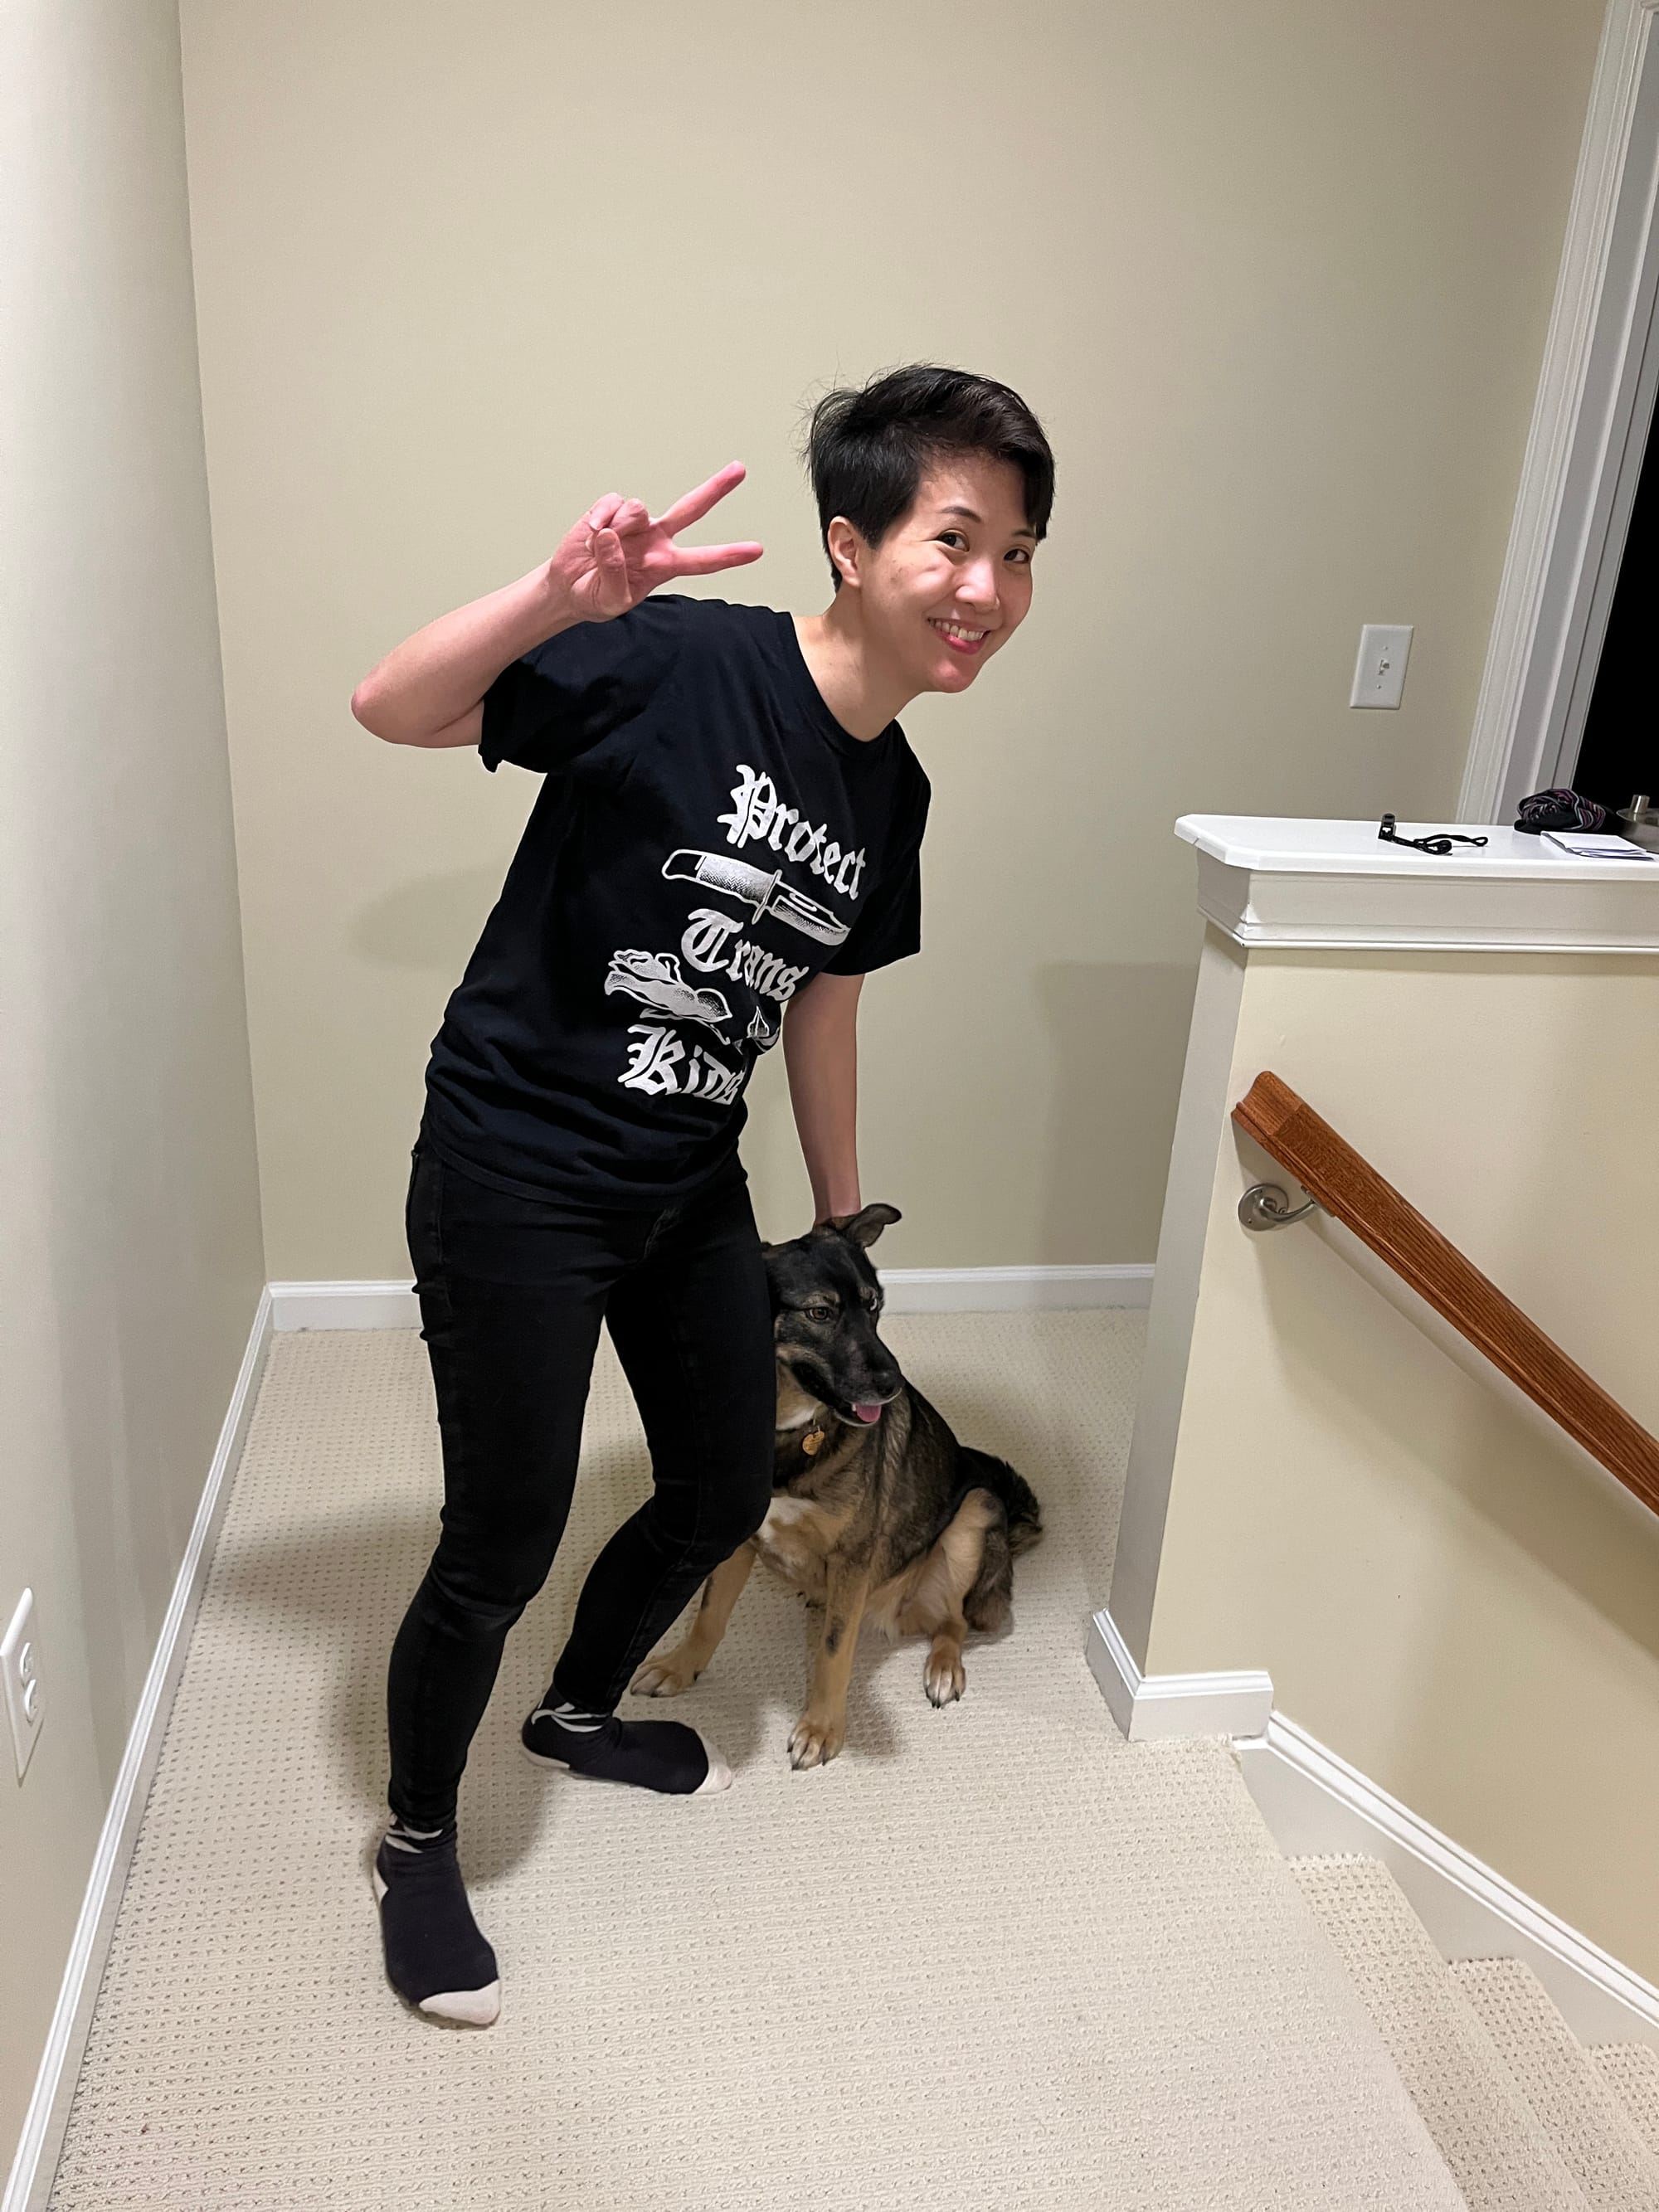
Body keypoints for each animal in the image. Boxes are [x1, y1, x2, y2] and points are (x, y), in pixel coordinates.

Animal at [628, 1203, 1044, 1769]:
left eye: (874, 1306)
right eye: (820, 1314)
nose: (893, 1385)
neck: (788, 1432)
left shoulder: (854, 1557)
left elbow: (832, 1651)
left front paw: (821, 1729)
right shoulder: (736, 1538)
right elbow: (709, 1614)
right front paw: (680, 1667)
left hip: (974, 1516)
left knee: (953, 1621)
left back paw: (942, 1666)